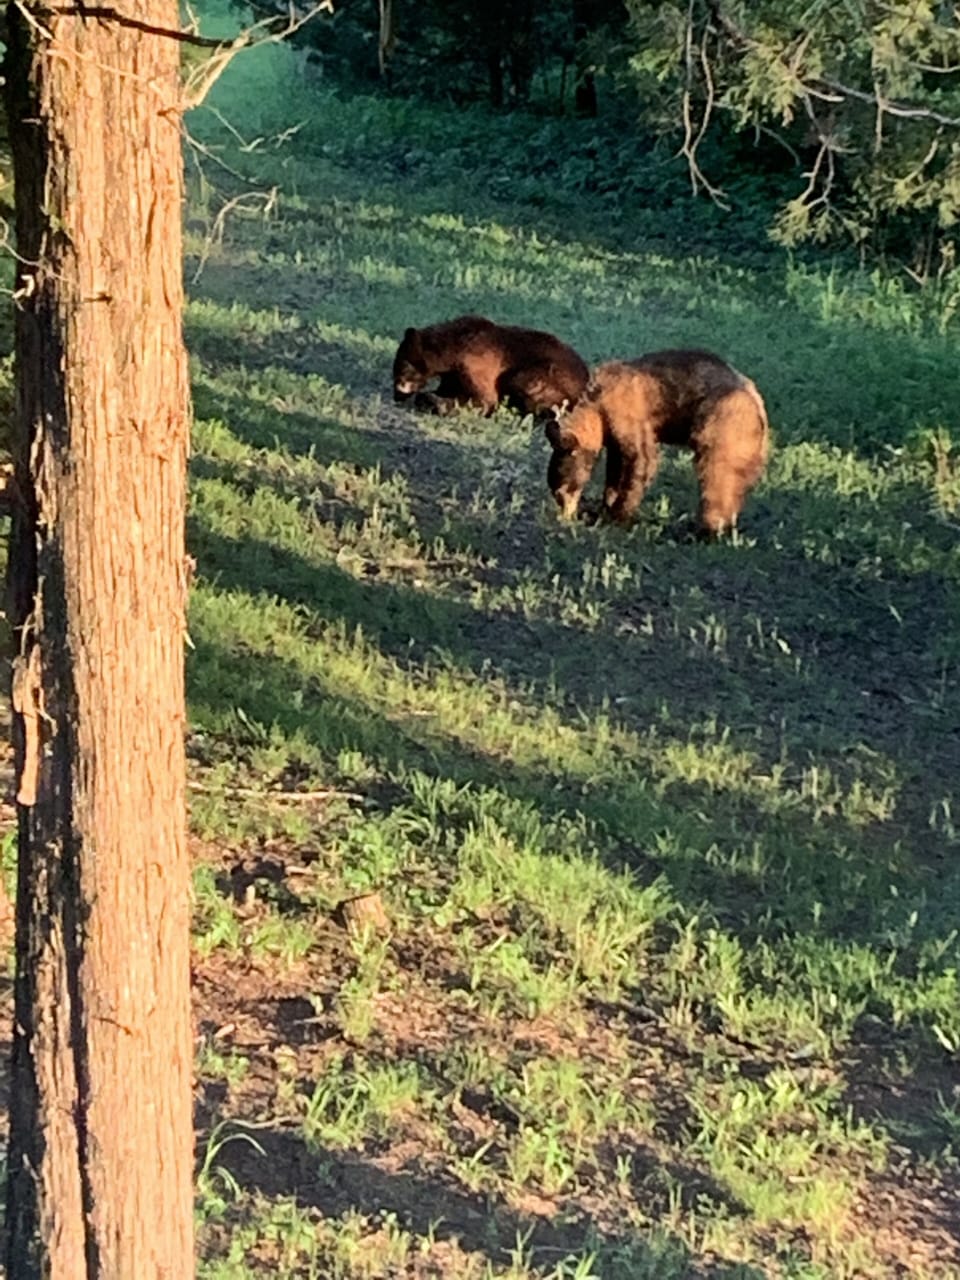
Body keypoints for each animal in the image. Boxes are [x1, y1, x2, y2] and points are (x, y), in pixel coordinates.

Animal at [392, 314, 589, 418]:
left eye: (402, 367)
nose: (396, 395)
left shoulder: (474, 362)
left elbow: (485, 398)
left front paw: (438, 402)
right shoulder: (452, 375)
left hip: (543, 376)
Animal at [544, 349, 769, 535]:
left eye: (562, 492)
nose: (565, 517)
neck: (596, 409)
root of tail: (757, 403)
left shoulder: (625, 411)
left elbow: (642, 459)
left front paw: (617, 516)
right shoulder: (613, 437)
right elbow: (616, 468)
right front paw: (605, 507)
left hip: (724, 423)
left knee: (717, 475)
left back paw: (705, 530)